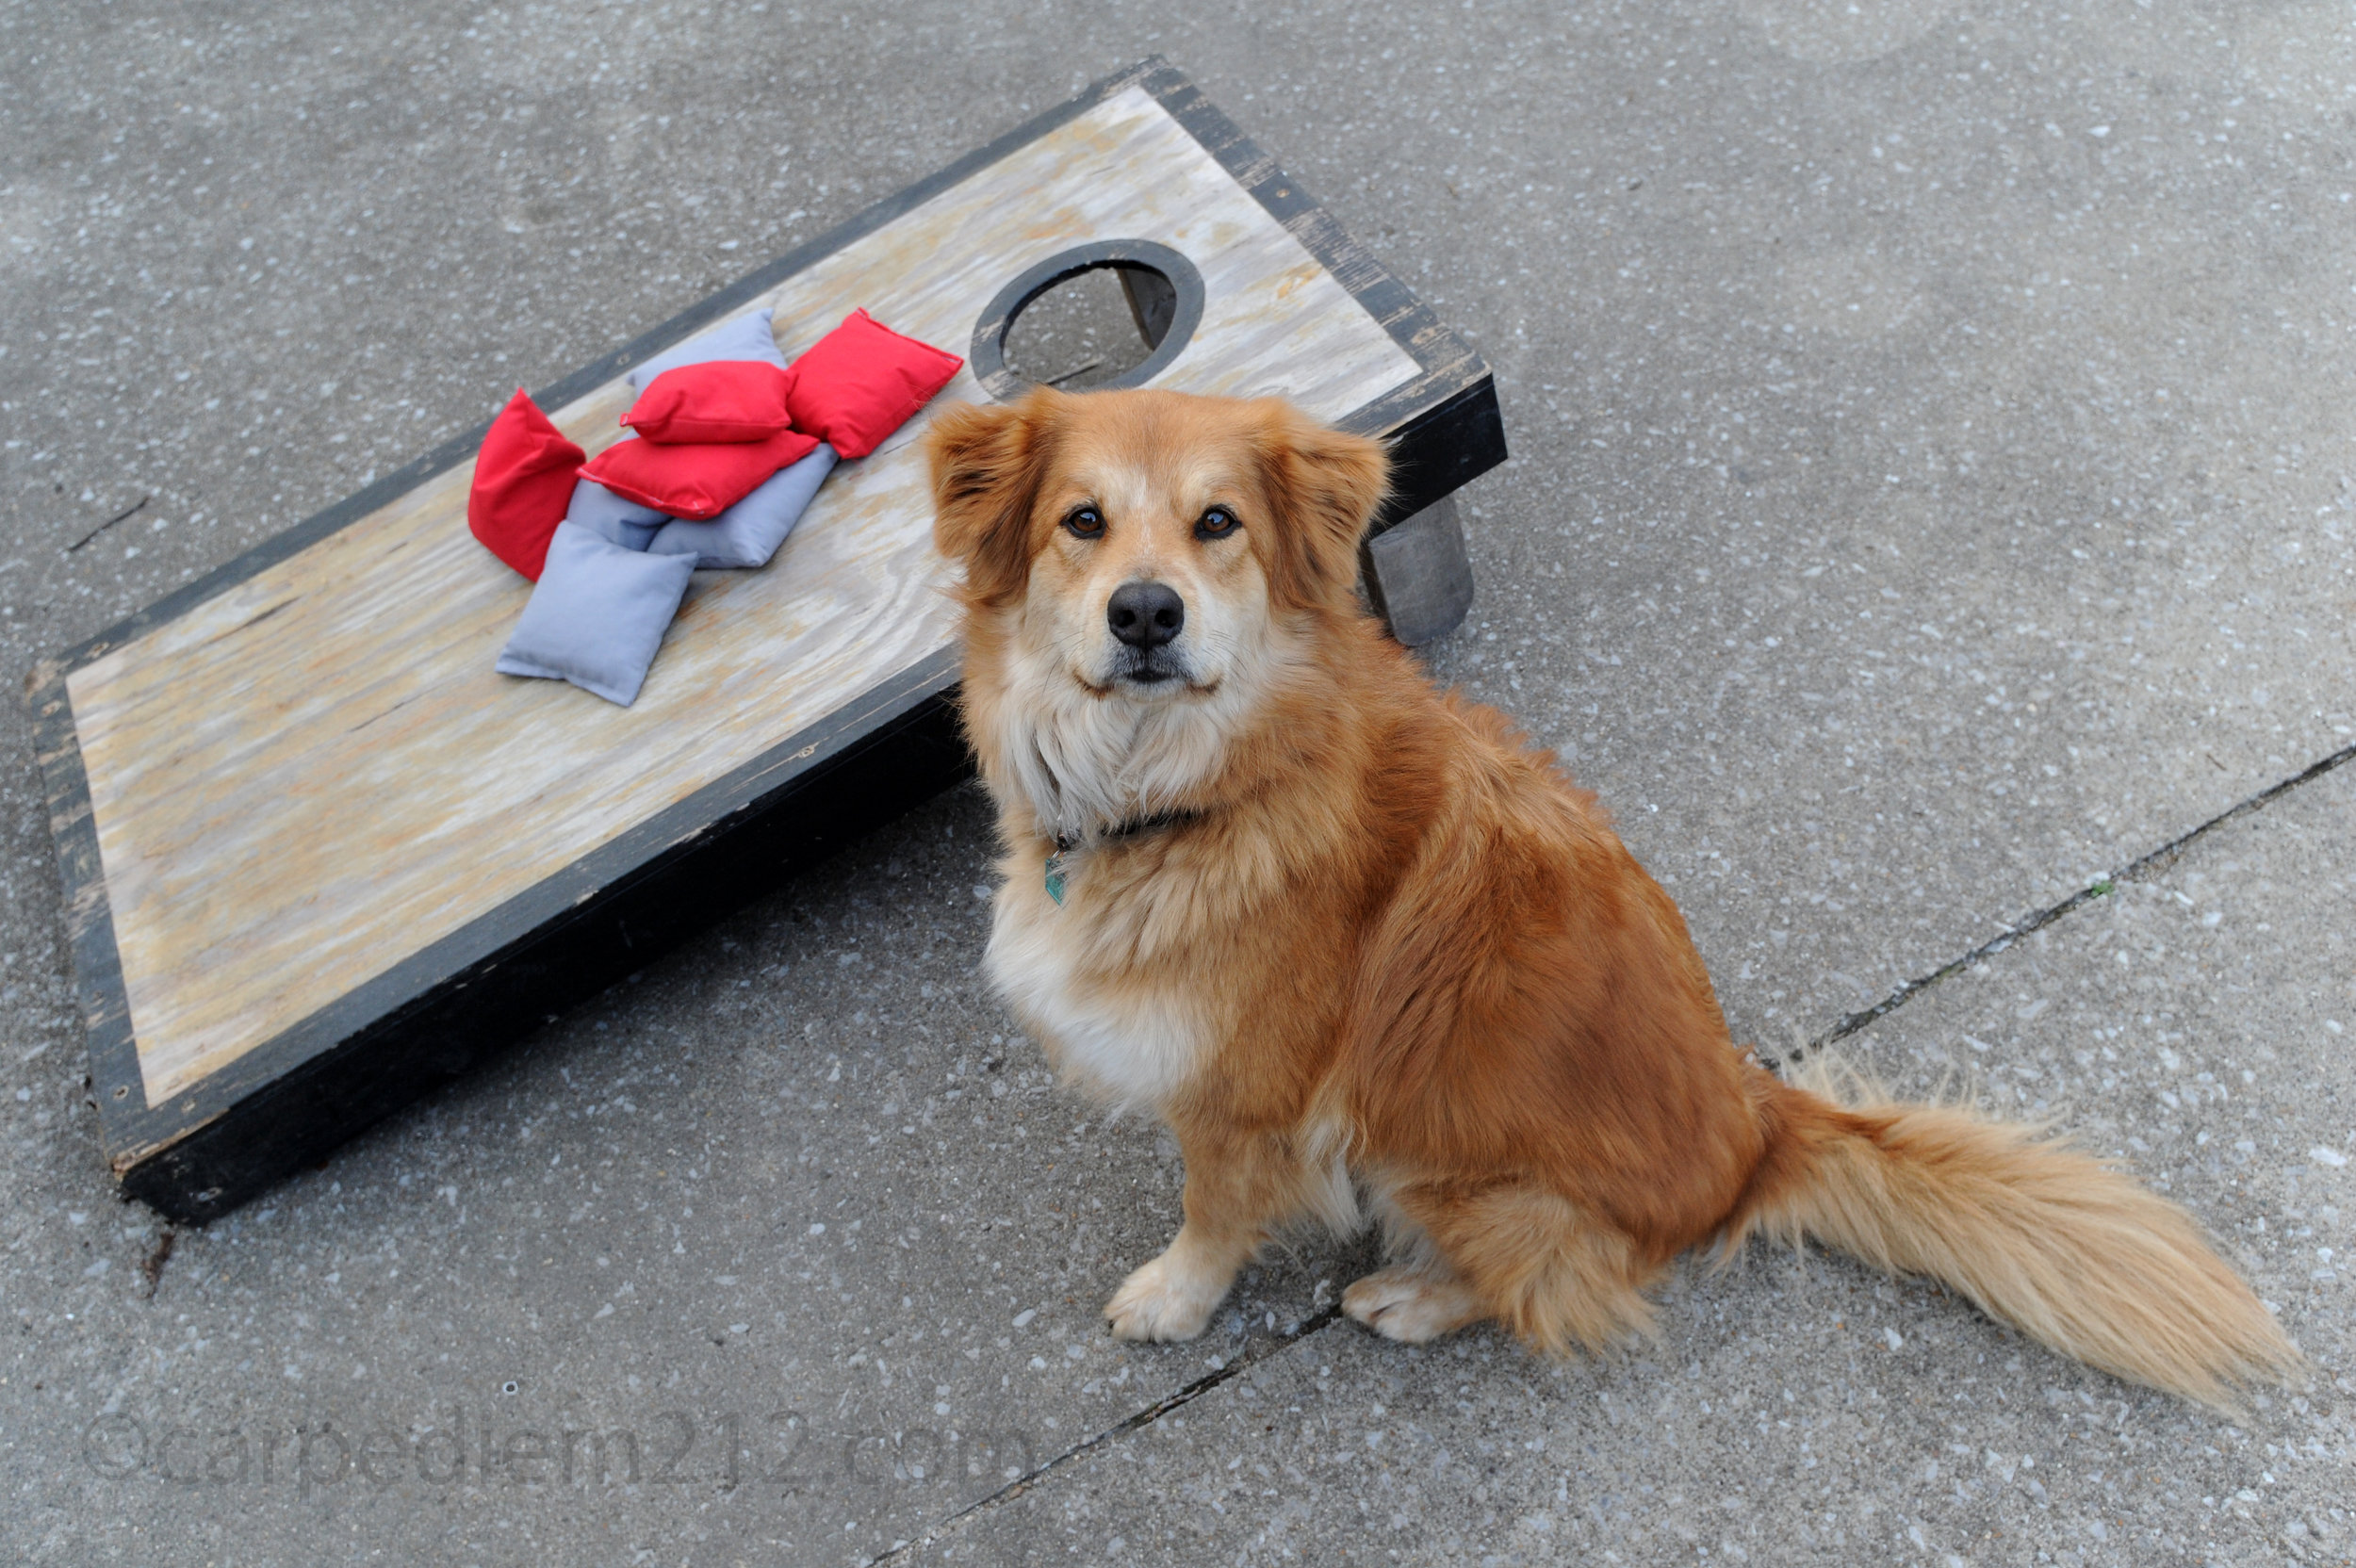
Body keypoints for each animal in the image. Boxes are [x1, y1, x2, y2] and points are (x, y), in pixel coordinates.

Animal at [924, 388, 2299, 1403]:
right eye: (1082, 521)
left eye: (1219, 524)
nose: (1144, 613)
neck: (1197, 783)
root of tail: (1756, 1129)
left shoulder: (1240, 1104)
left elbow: (1210, 1215)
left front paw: (1173, 1297)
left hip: (1429, 1156)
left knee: (1548, 1286)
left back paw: (1412, 1295)